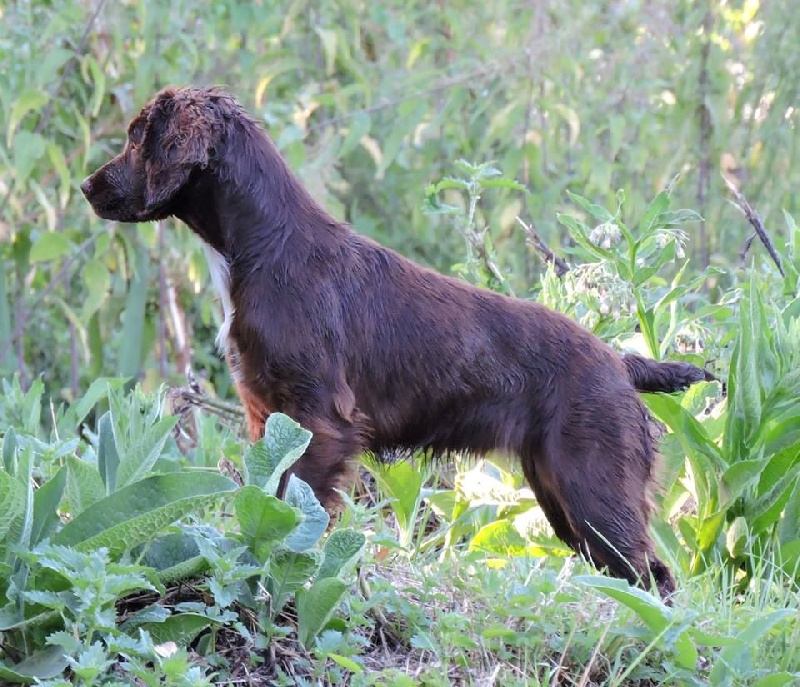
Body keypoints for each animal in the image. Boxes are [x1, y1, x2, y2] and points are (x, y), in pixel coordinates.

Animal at [83, 87, 712, 600]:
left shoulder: (322, 420)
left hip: (594, 485)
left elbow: (293, 502)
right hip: (562, 493)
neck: (263, 247)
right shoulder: (268, 415)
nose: (87, 186)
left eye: (138, 138)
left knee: (653, 576)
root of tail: (621, 363)